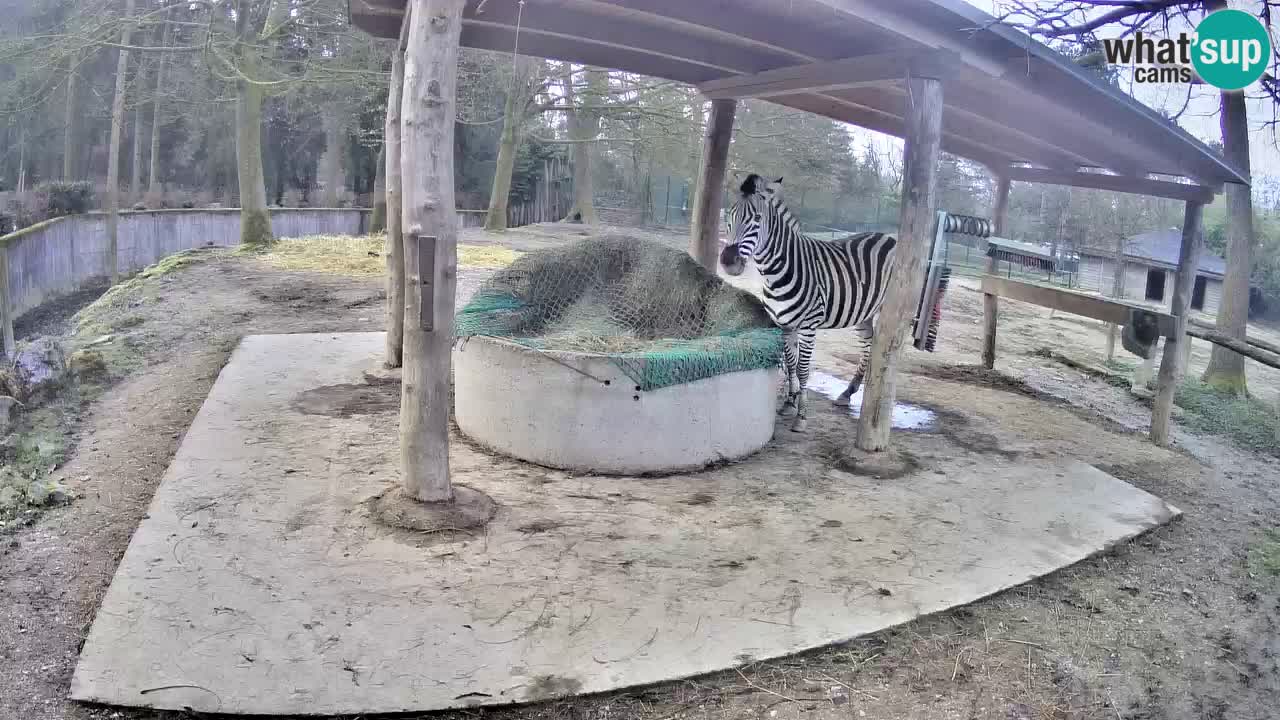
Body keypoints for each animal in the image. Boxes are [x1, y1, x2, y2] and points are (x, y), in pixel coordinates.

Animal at [720, 173, 896, 433]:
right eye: (729, 216)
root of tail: (888, 236)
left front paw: (801, 415)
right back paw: (848, 392)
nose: (728, 262)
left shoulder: (808, 326)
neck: (776, 273)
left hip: (888, 308)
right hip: (864, 313)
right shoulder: (784, 325)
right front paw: (789, 403)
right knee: (869, 346)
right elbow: (791, 364)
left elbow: (803, 370)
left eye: (757, 219)